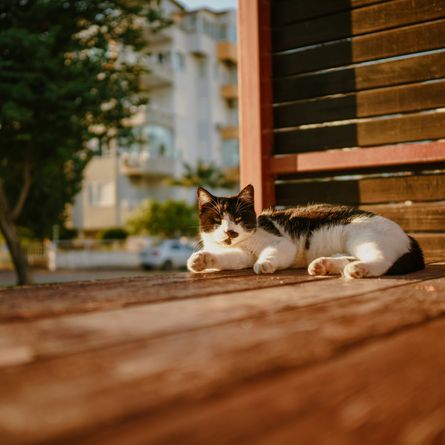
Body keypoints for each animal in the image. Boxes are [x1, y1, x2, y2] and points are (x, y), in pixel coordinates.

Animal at [186, 184, 424, 278]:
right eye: (218, 220)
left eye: (238, 219)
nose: (230, 232)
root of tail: (409, 237)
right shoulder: (241, 255)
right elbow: (227, 258)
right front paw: (201, 260)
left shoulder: (282, 243)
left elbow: (272, 252)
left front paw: (265, 263)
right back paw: (324, 265)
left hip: (364, 237)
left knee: (382, 260)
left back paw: (358, 269)